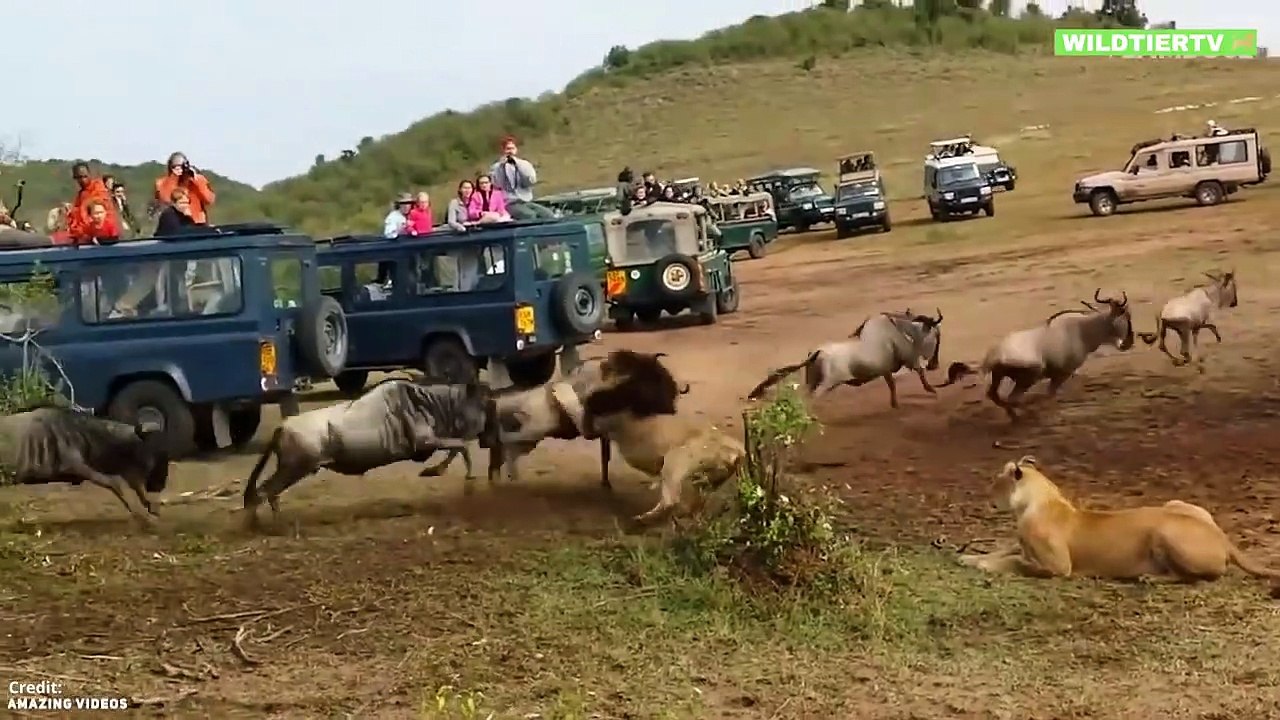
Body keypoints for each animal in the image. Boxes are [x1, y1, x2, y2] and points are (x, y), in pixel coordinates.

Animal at [549, 351, 744, 525]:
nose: (606, 361)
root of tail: (736, 449)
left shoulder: (594, 425)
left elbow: (573, 405)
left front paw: (558, 388)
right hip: (705, 481)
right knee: (695, 501)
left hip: (674, 465)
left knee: (671, 500)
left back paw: (642, 519)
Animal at [960, 455, 1280, 587]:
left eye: (995, 482)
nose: (987, 496)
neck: (1039, 499)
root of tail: (1224, 539)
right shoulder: (1026, 547)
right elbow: (1007, 549)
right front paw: (971, 557)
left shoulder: (1060, 568)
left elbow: (1016, 562)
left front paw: (985, 564)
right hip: (1176, 505)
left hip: (1164, 531)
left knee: (1200, 577)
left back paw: (1151, 578)